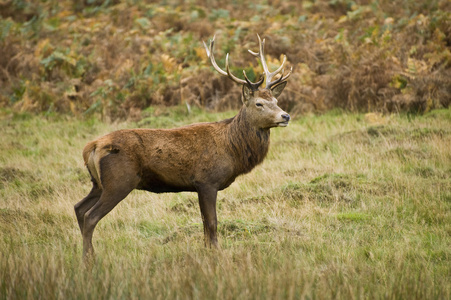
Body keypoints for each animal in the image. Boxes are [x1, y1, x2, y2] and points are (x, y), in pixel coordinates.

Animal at [75, 34, 294, 260]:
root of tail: (91, 147)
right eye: (259, 103)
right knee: (91, 216)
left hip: (98, 183)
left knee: (79, 209)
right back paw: (89, 258)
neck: (232, 148)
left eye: (276, 100)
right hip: (119, 181)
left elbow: (205, 224)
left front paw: (207, 250)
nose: (285, 116)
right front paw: (216, 252)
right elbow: (212, 222)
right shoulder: (206, 180)